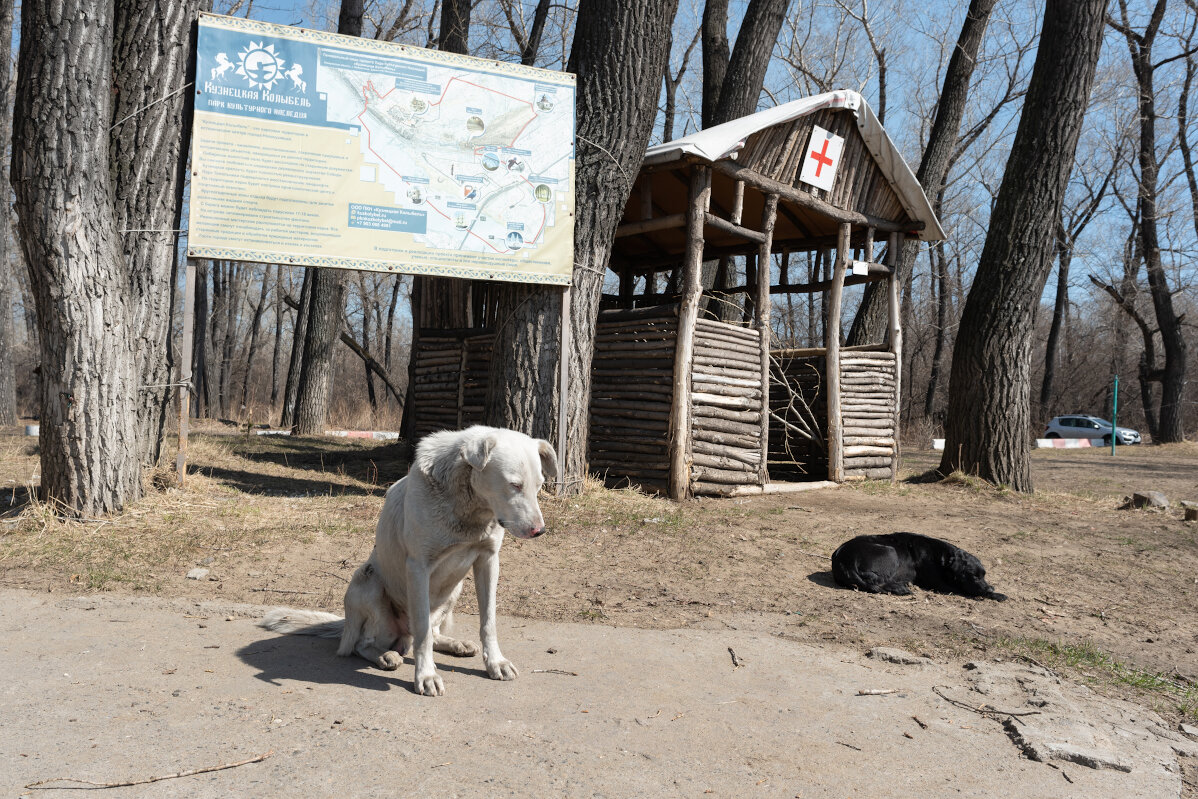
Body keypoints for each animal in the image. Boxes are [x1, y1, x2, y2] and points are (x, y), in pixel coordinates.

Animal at [261, 428, 555, 694]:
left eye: (539, 485)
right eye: (514, 485)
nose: (539, 531)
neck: (470, 511)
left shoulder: (488, 561)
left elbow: (488, 622)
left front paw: (495, 662)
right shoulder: (418, 569)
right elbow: (422, 631)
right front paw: (426, 676)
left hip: (455, 589)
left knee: (431, 634)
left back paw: (455, 644)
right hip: (367, 581)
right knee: (363, 644)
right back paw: (385, 655)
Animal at [829, 534, 1006, 603]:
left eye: (984, 575)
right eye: (974, 576)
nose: (989, 588)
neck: (941, 558)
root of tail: (842, 560)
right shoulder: (939, 584)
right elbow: (966, 591)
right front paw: (997, 594)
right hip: (890, 551)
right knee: (877, 582)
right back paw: (901, 588)